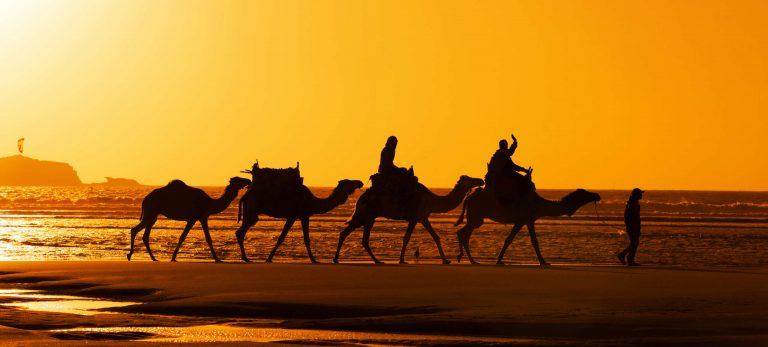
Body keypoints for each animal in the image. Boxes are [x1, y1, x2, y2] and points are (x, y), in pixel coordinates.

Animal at [236, 179, 364, 264]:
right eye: (349, 182)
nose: (360, 182)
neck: (312, 201)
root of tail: (245, 196)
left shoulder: (299, 216)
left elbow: (290, 237)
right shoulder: (300, 215)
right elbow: (293, 238)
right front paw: (314, 260)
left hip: (252, 213)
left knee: (241, 231)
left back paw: (245, 257)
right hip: (252, 210)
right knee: (240, 232)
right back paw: (245, 258)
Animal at [332, 175, 484, 266]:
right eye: (470, 179)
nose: (481, 180)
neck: (432, 200)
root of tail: (361, 198)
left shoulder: (423, 217)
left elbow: (436, 237)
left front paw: (446, 260)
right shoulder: (414, 217)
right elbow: (406, 237)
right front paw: (401, 260)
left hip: (366, 217)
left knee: (348, 234)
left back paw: (339, 258)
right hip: (367, 215)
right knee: (357, 236)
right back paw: (375, 260)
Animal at [452, 188, 604, 266]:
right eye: (584, 193)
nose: (597, 195)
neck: (539, 204)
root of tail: (468, 197)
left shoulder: (528, 220)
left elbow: (527, 241)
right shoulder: (523, 219)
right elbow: (515, 240)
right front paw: (543, 261)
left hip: (477, 217)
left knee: (463, 232)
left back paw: (469, 259)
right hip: (476, 215)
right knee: (464, 232)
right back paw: (470, 260)